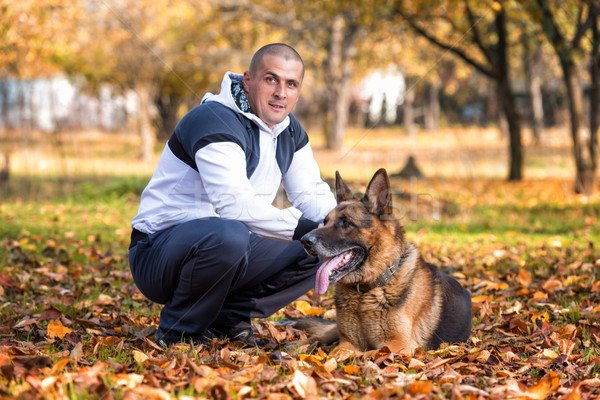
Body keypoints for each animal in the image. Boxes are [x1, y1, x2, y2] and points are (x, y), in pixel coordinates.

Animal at [288, 168, 472, 354]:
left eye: (346, 222)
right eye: (325, 222)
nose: (304, 240)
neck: (365, 292)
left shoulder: (396, 347)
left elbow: (363, 354)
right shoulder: (347, 342)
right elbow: (334, 353)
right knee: (322, 336)